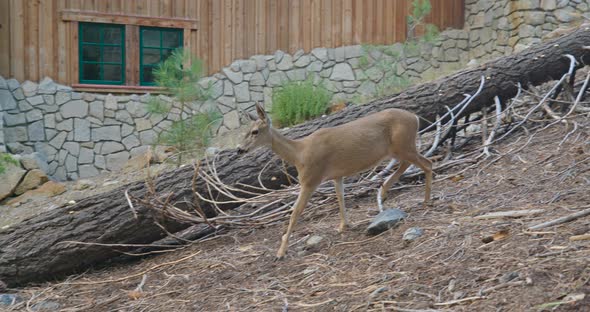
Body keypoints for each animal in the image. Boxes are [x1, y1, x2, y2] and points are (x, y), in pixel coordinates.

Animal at [237, 102, 434, 258]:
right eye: (245, 131)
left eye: (255, 131)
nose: (239, 149)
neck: (299, 155)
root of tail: (415, 117)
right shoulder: (337, 176)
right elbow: (340, 197)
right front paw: (343, 225)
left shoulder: (311, 179)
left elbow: (295, 212)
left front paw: (280, 252)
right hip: (398, 149)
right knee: (410, 164)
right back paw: (384, 191)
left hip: (404, 145)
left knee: (427, 163)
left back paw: (425, 201)